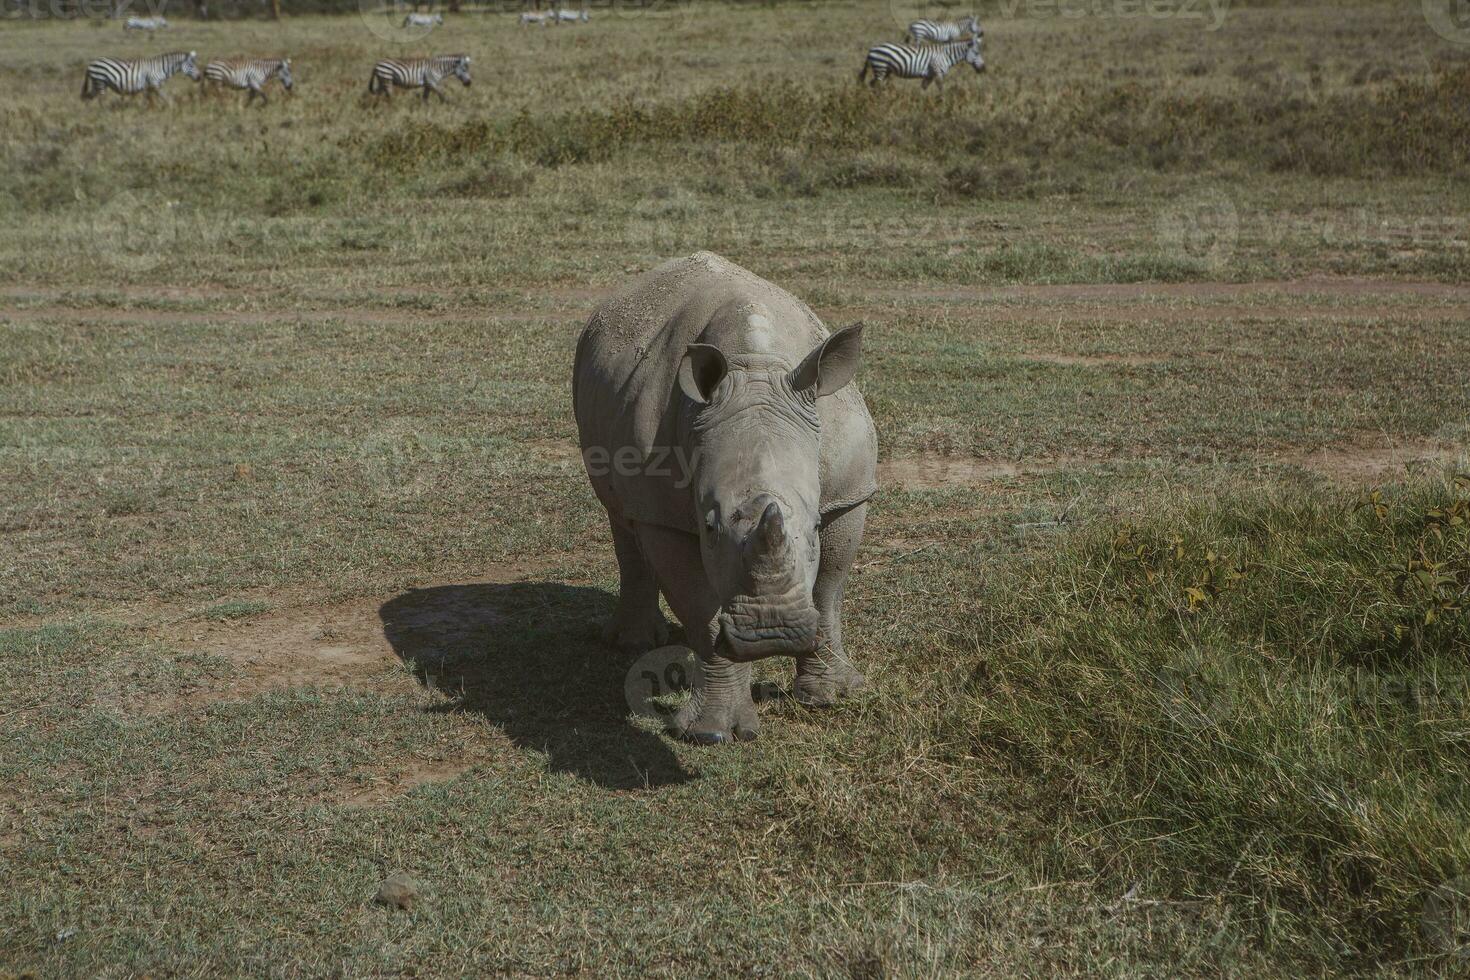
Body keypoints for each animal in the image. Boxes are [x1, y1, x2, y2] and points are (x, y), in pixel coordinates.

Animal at [858, 36, 987, 89]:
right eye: (976, 53)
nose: (983, 70)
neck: (946, 55)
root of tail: (872, 49)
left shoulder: (929, 75)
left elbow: (923, 90)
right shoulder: (937, 72)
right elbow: (941, 90)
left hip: (885, 70)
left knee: (872, 84)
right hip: (880, 68)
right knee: (876, 85)